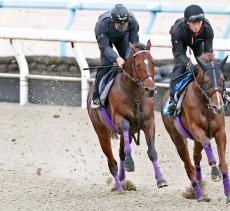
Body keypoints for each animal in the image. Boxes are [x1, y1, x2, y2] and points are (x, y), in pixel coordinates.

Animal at [87, 40, 167, 193]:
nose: (150, 89)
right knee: (112, 161)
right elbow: (126, 144)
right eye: (138, 64)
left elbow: (152, 152)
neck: (135, 95)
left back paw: (122, 178)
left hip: (128, 134)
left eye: (153, 62)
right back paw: (119, 187)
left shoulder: (149, 123)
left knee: (121, 153)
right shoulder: (121, 121)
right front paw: (130, 164)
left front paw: (161, 180)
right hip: (101, 133)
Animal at [161, 54, 229, 204]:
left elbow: (223, 164)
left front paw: (228, 194)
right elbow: (208, 144)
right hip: (178, 139)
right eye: (207, 81)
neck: (206, 106)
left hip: (196, 141)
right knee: (188, 166)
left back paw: (199, 182)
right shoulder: (197, 130)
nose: (218, 106)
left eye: (223, 79)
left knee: (196, 157)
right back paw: (198, 194)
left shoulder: (220, 132)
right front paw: (215, 172)